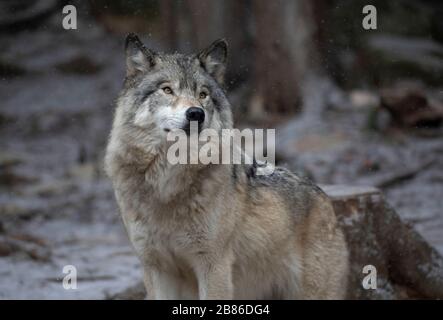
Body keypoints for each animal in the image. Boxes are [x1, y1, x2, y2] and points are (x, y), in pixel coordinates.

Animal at [105, 33, 350, 298]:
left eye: (202, 94)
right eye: (167, 90)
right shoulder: (155, 267)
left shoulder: (214, 265)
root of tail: (326, 201)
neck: (167, 182)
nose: (196, 113)